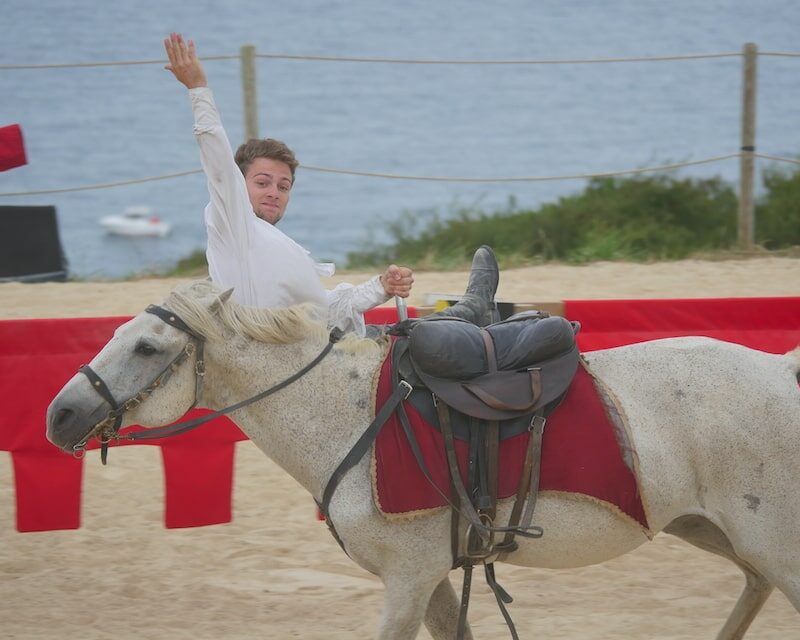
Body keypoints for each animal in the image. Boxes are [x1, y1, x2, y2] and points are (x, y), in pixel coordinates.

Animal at [45, 282, 800, 636]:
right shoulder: (434, 579)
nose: (60, 416)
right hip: (714, 529)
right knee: (753, 586)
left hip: (770, 539)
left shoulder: (407, 580)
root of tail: (782, 370)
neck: (349, 413)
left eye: (146, 346)